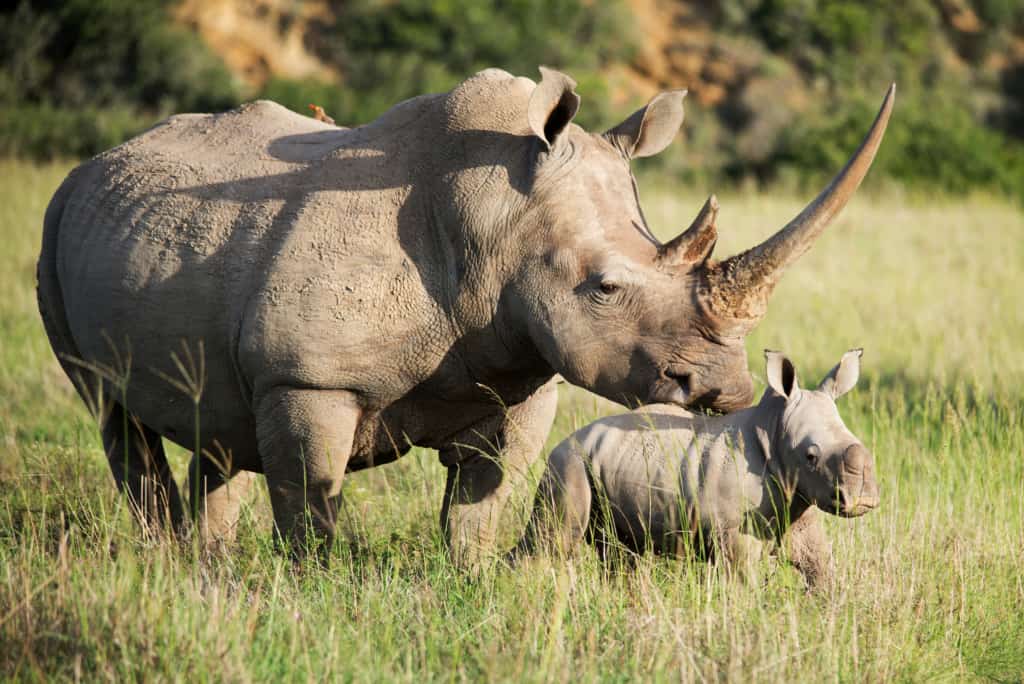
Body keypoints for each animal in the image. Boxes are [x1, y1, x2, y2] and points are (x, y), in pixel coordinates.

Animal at [520, 348, 880, 589]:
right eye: (810, 456)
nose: (864, 496)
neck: (773, 431)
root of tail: (564, 441)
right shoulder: (735, 531)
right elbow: (743, 582)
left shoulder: (798, 504)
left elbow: (819, 568)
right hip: (568, 463)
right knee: (552, 541)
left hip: (600, 458)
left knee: (619, 553)